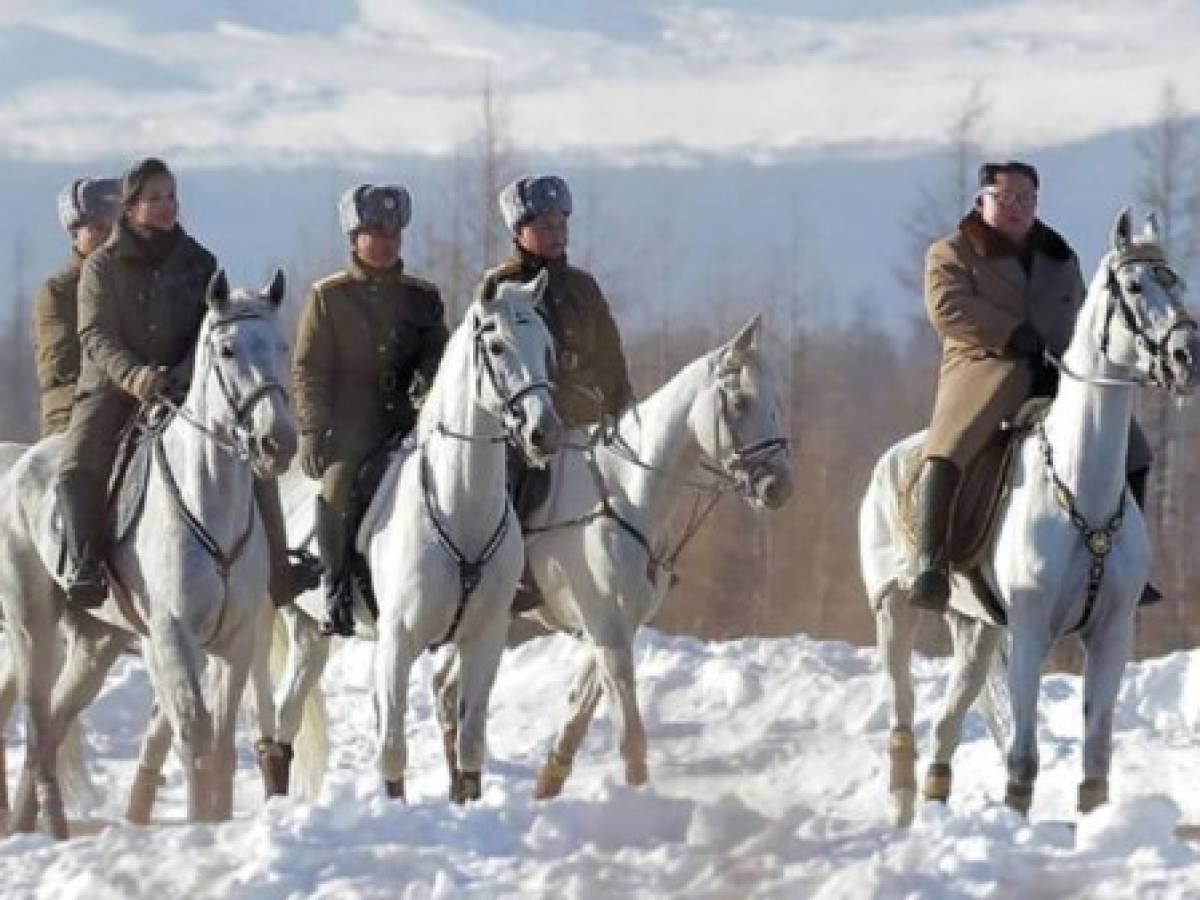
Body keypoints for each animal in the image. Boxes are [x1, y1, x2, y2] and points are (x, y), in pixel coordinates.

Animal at [0, 270, 295, 840]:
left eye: (283, 345)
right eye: (227, 349)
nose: (279, 443)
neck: (210, 500)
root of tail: (19, 466)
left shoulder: (236, 640)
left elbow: (222, 742)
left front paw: (217, 821)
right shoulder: (174, 635)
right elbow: (195, 736)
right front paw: (202, 829)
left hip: (96, 644)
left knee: (53, 725)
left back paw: (30, 825)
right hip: (32, 629)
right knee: (38, 720)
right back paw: (49, 826)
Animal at [439, 314, 787, 796]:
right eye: (739, 401)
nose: (778, 487)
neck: (629, 493)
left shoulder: (616, 624)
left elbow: (582, 703)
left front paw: (549, 782)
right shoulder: (606, 624)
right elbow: (627, 721)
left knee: (445, 690)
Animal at [864, 211, 1200, 830]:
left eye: (1178, 282)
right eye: (1135, 286)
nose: (1187, 357)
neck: (1081, 486)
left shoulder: (1112, 632)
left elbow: (1097, 751)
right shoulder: (1030, 629)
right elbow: (1022, 755)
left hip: (976, 630)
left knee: (948, 721)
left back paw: (936, 802)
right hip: (894, 610)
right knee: (905, 707)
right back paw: (902, 808)